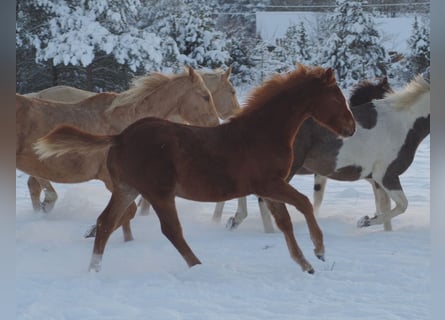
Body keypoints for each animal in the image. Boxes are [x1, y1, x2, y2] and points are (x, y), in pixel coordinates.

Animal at [16, 67, 217, 241]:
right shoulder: (112, 181)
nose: (215, 124)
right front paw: (95, 232)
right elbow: (127, 213)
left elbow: (126, 215)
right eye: (206, 96)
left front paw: (125, 240)